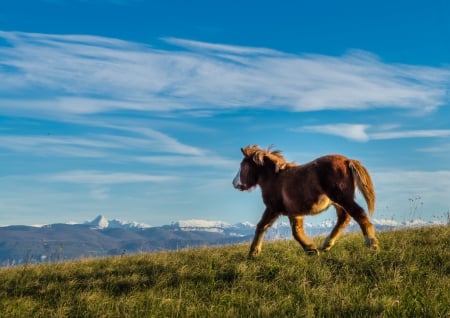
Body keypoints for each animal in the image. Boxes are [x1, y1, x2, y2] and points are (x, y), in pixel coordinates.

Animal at [232, 145, 380, 258]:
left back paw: (372, 244)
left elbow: (261, 226)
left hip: (341, 197)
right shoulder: (294, 212)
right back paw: (326, 246)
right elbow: (296, 231)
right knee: (344, 218)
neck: (274, 178)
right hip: (338, 201)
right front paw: (311, 249)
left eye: (243, 166)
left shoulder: (273, 208)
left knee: (358, 214)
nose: (234, 184)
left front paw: (253, 253)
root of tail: (347, 161)